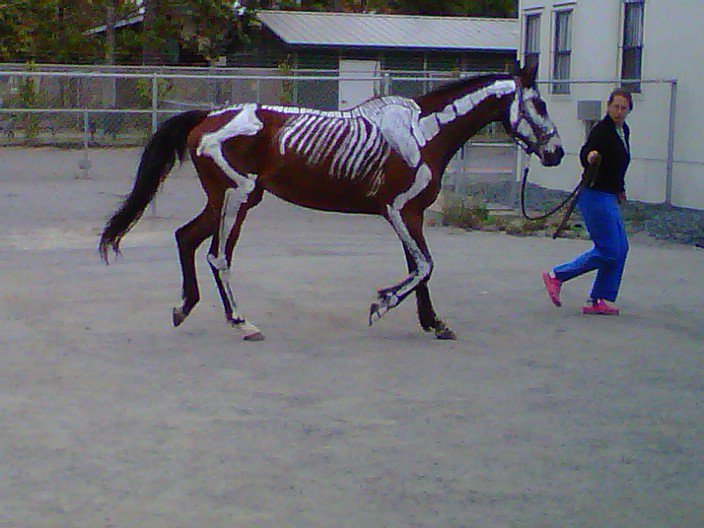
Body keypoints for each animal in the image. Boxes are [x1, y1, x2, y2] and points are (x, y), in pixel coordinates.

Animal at [99, 65, 564, 341]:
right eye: (539, 103)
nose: (556, 152)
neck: (423, 132)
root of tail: (207, 118)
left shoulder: (410, 216)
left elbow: (420, 268)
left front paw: (434, 322)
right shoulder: (400, 211)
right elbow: (424, 266)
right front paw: (381, 304)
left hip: (224, 200)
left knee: (185, 238)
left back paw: (185, 307)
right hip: (238, 199)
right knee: (217, 255)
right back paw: (241, 321)